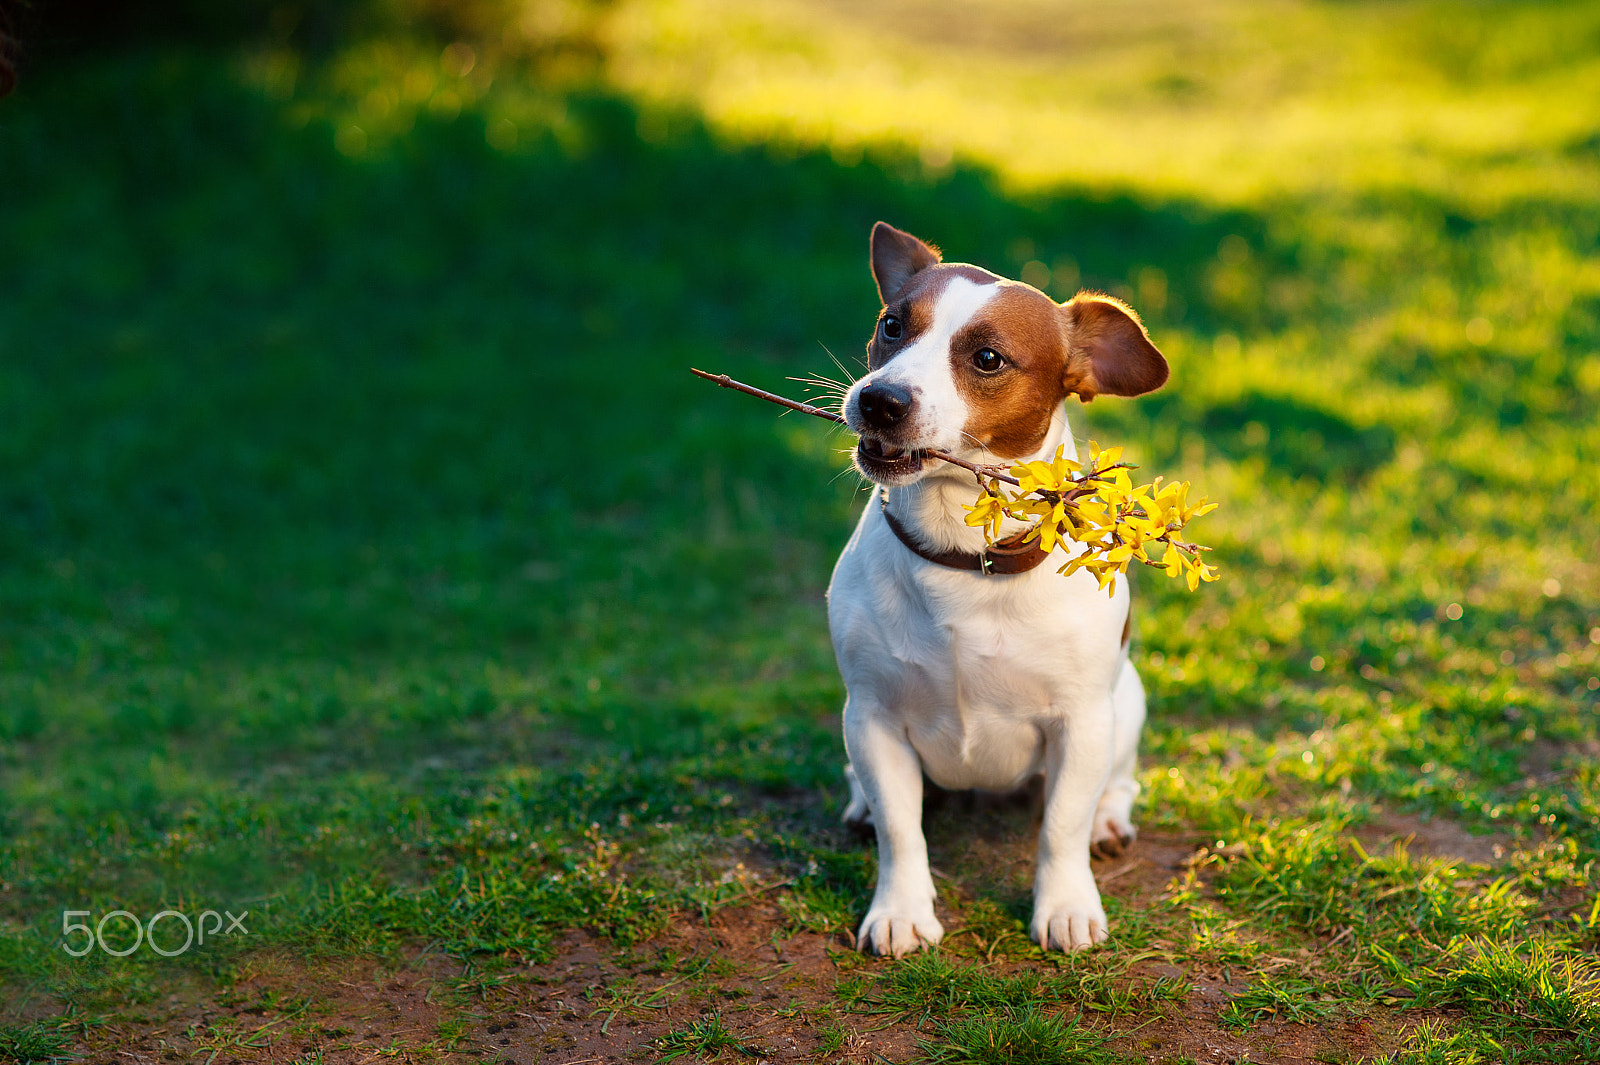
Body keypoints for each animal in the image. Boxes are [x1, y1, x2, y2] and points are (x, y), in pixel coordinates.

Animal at [832, 219, 1171, 946]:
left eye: (987, 359)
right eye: (891, 325)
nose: (878, 398)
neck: (962, 555)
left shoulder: (1081, 724)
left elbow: (1061, 827)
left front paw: (1066, 905)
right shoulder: (871, 716)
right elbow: (902, 830)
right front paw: (901, 910)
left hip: (1125, 704)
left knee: (1117, 783)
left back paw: (1109, 818)